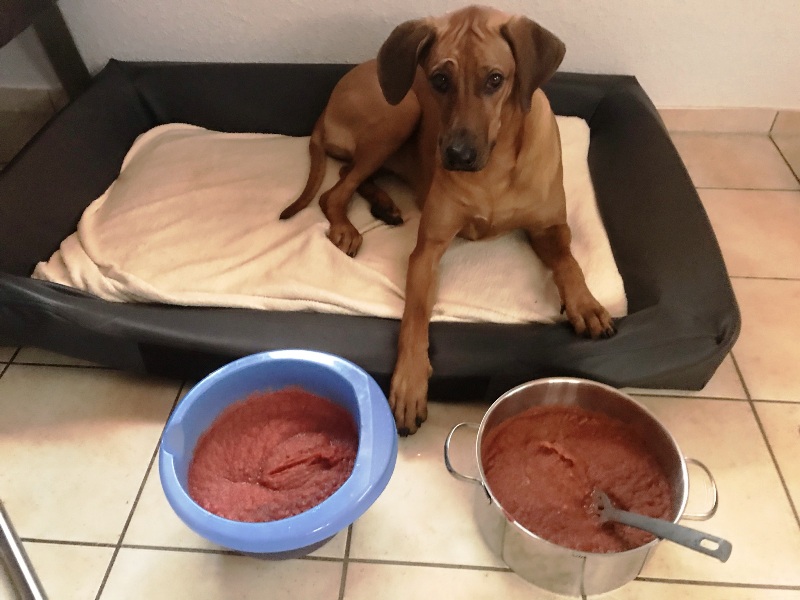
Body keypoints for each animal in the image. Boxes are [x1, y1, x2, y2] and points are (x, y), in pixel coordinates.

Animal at [281, 5, 616, 434]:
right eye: (439, 79)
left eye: (495, 79)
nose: (457, 155)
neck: (494, 167)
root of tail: (330, 102)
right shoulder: (428, 249)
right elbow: (414, 319)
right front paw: (409, 383)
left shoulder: (550, 227)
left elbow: (568, 261)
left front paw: (586, 304)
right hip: (402, 109)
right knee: (333, 191)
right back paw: (346, 226)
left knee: (346, 177)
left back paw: (383, 203)